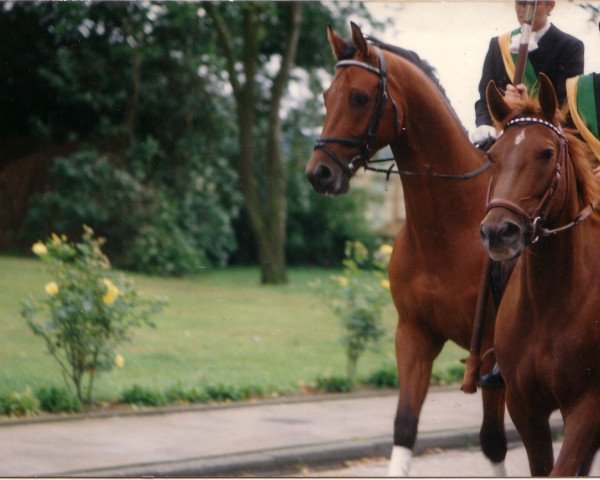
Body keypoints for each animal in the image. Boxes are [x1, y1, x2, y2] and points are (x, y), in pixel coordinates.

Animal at [304, 22, 506, 476]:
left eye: (359, 97)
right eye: (326, 95)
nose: (318, 174)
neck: (449, 228)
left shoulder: (491, 353)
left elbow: (493, 442)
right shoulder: (414, 337)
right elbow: (404, 429)